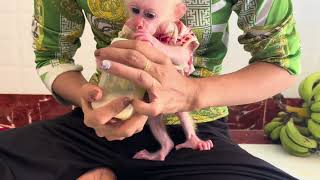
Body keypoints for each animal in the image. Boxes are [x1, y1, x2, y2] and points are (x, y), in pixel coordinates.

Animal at [120, 0, 215, 160]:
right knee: (154, 117)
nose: (138, 24)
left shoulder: (178, 30)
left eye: (150, 15)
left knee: (182, 111)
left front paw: (151, 41)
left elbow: (182, 55)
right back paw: (165, 148)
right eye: (135, 11)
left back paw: (193, 141)